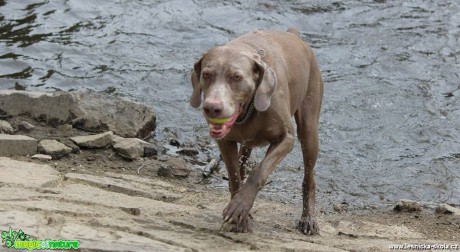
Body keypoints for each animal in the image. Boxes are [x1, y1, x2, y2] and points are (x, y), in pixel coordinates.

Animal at [190, 27, 324, 234]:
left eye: (237, 77)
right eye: (206, 74)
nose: (212, 108)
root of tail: (293, 34)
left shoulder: (285, 139)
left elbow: (259, 171)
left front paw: (239, 207)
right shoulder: (225, 140)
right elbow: (234, 176)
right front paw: (240, 215)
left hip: (309, 127)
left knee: (309, 177)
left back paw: (308, 219)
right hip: (248, 142)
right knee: (242, 161)